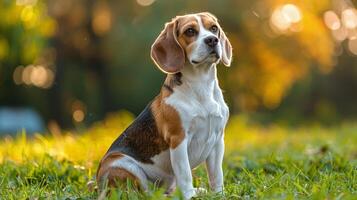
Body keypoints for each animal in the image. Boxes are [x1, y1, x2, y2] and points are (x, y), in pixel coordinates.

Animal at [96, 11, 232, 199]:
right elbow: (185, 174)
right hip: (120, 163)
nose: (212, 40)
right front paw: (189, 196)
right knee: (143, 193)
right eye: (190, 31)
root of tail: (98, 186)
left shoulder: (218, 141)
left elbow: (216, 174)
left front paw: (219, 194)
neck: (201, 84)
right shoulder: (178, 139)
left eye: (214, 28)